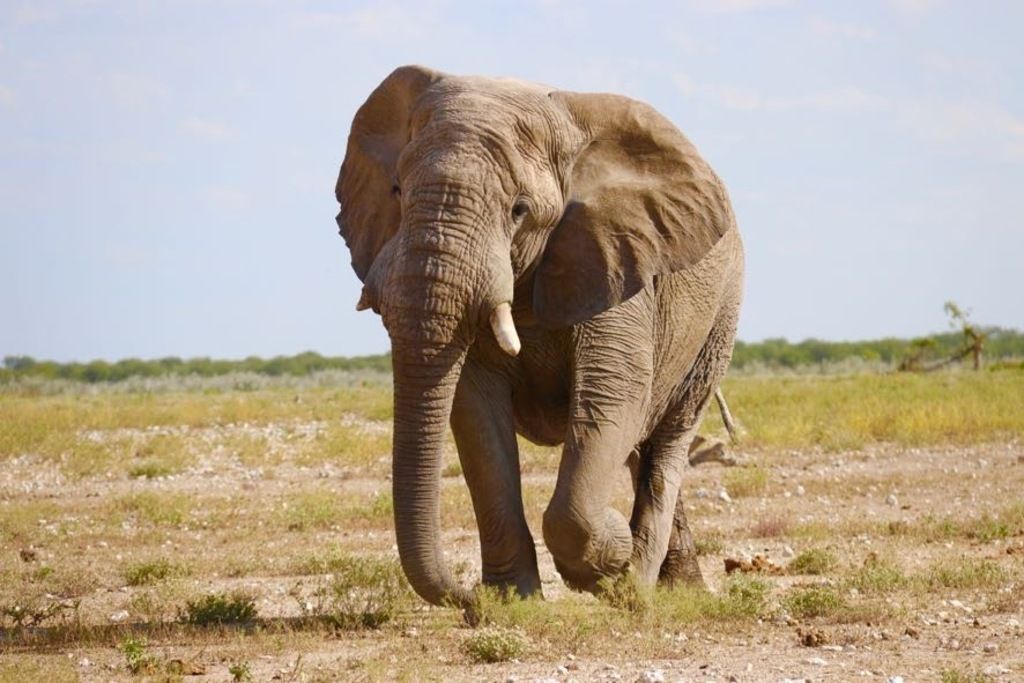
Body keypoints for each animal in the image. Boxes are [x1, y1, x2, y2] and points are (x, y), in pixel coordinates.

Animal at [334, 65, 744, 608]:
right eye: (397, 191)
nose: (468, 602)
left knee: (668, 437)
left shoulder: (617, 257)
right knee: (640, 445)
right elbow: (475, 411)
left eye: (519, 210)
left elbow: (612, 394)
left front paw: (608, 561)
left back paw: (639, 586)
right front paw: (514, 600)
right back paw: (672, 584)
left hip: (720, 314)